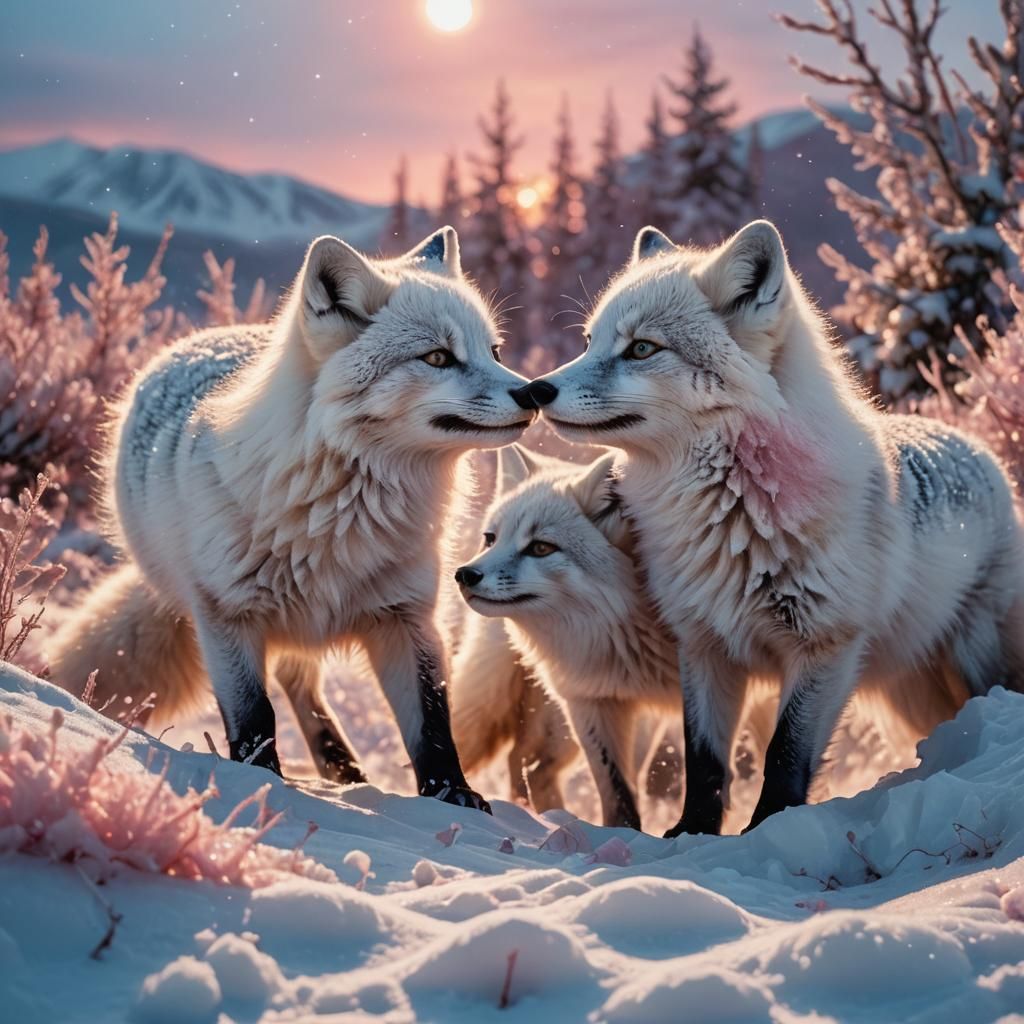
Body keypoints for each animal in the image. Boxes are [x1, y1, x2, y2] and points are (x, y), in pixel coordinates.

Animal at [49, 226, 544, 811]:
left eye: (495, 351)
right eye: (438, 357)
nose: (532, 393)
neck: (336, 515)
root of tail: (208, 335)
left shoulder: (408, 616)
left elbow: (432, 722)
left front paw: (452, 795)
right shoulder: (225, 614)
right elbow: (254, 717)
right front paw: (260, 785)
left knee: (300, 680)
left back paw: (342, 767)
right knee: (291, 681)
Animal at [526, 218, 1024, 836]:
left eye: (641, 348)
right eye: (588, 343)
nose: (536, 389)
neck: (732, 518)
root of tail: (981, 449)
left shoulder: (824, 645)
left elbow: (784, 753)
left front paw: (770, 828)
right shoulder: (703, 644)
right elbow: (704, 759)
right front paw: (692, 833)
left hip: (973, 655)